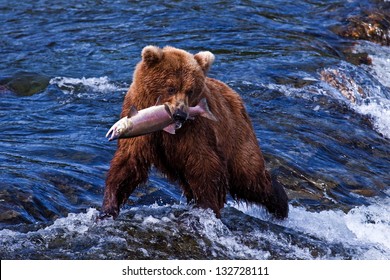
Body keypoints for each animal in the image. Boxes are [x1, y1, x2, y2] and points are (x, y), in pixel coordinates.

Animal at [100, 46, 290, 220]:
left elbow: (204, 164)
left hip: (236, 135)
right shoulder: (140, 120)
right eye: (171, 87)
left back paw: (281, 205)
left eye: (190, 90)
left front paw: (207, 207)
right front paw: (109, 207)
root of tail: (234, 94)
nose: (179, 114)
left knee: (249, 176)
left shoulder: (195, 130)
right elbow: (129, 163)